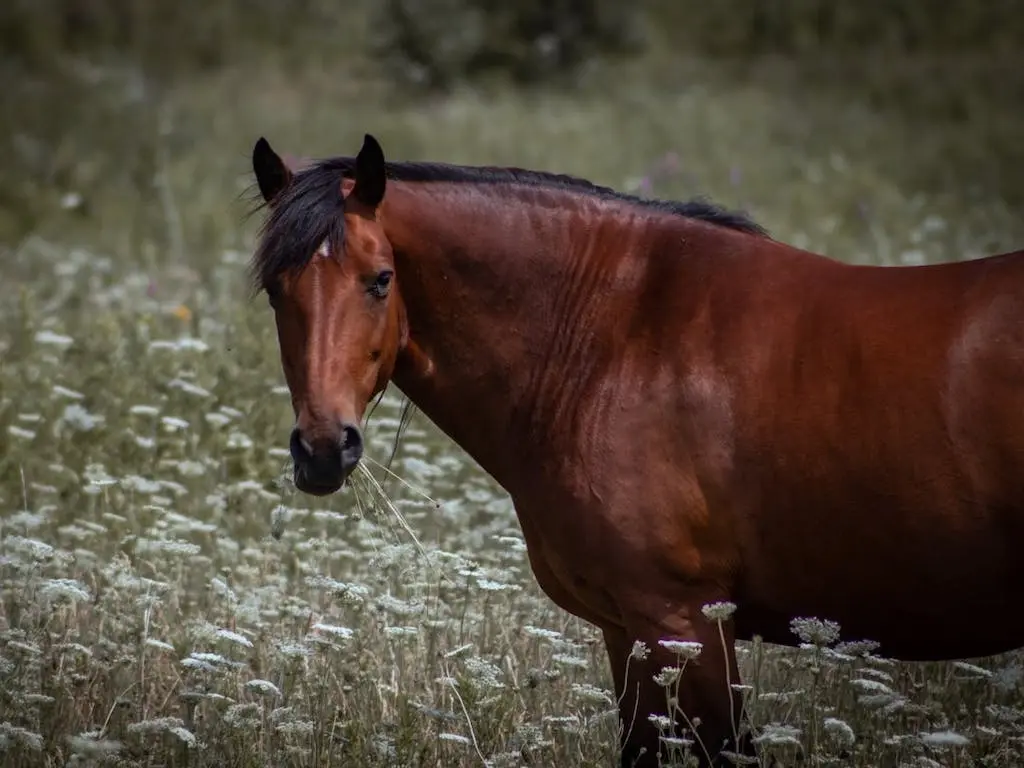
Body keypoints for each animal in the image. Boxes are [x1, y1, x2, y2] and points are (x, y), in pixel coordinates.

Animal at [245, 135, 1024, 765]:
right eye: (276, 291)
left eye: (380, 280)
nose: (323, 449)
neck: (613, 337)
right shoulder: (628, 632)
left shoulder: (685, 625)